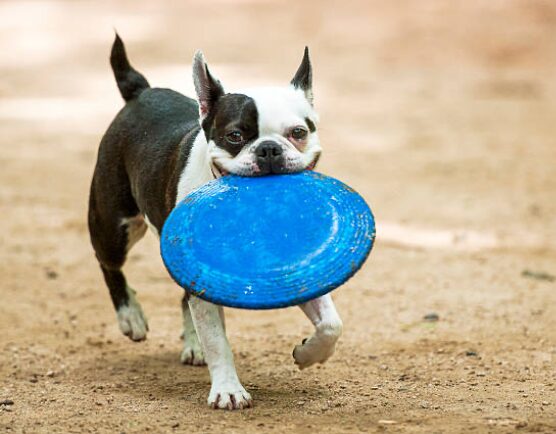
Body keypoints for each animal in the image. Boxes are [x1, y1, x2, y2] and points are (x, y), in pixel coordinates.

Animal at [87, 34, 344, 410]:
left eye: (298, 132)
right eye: (235, 136)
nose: (269, 148)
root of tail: (140, 91)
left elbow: (331, 323)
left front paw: (309, 354)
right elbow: (217, 340)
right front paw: (228, 389)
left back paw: (191, 344)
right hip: (115, 225)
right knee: (109, 265)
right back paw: (130, 315)